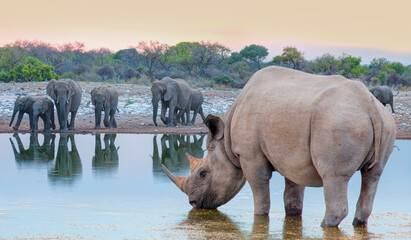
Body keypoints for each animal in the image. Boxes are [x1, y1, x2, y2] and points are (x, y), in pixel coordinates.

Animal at [163, 65, 398, 227]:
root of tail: (369, 105)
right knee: (373, 175)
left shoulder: (250, 155)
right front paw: (293, 217)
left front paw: (259, 219)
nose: (193, 203)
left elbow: (261, 195)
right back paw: (358, 224)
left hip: (339, 123)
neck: (226, 143)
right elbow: (292, 197)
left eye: (203, 173)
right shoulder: (293, 158)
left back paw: (324, 226)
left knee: (333, 177)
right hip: (384, 124)